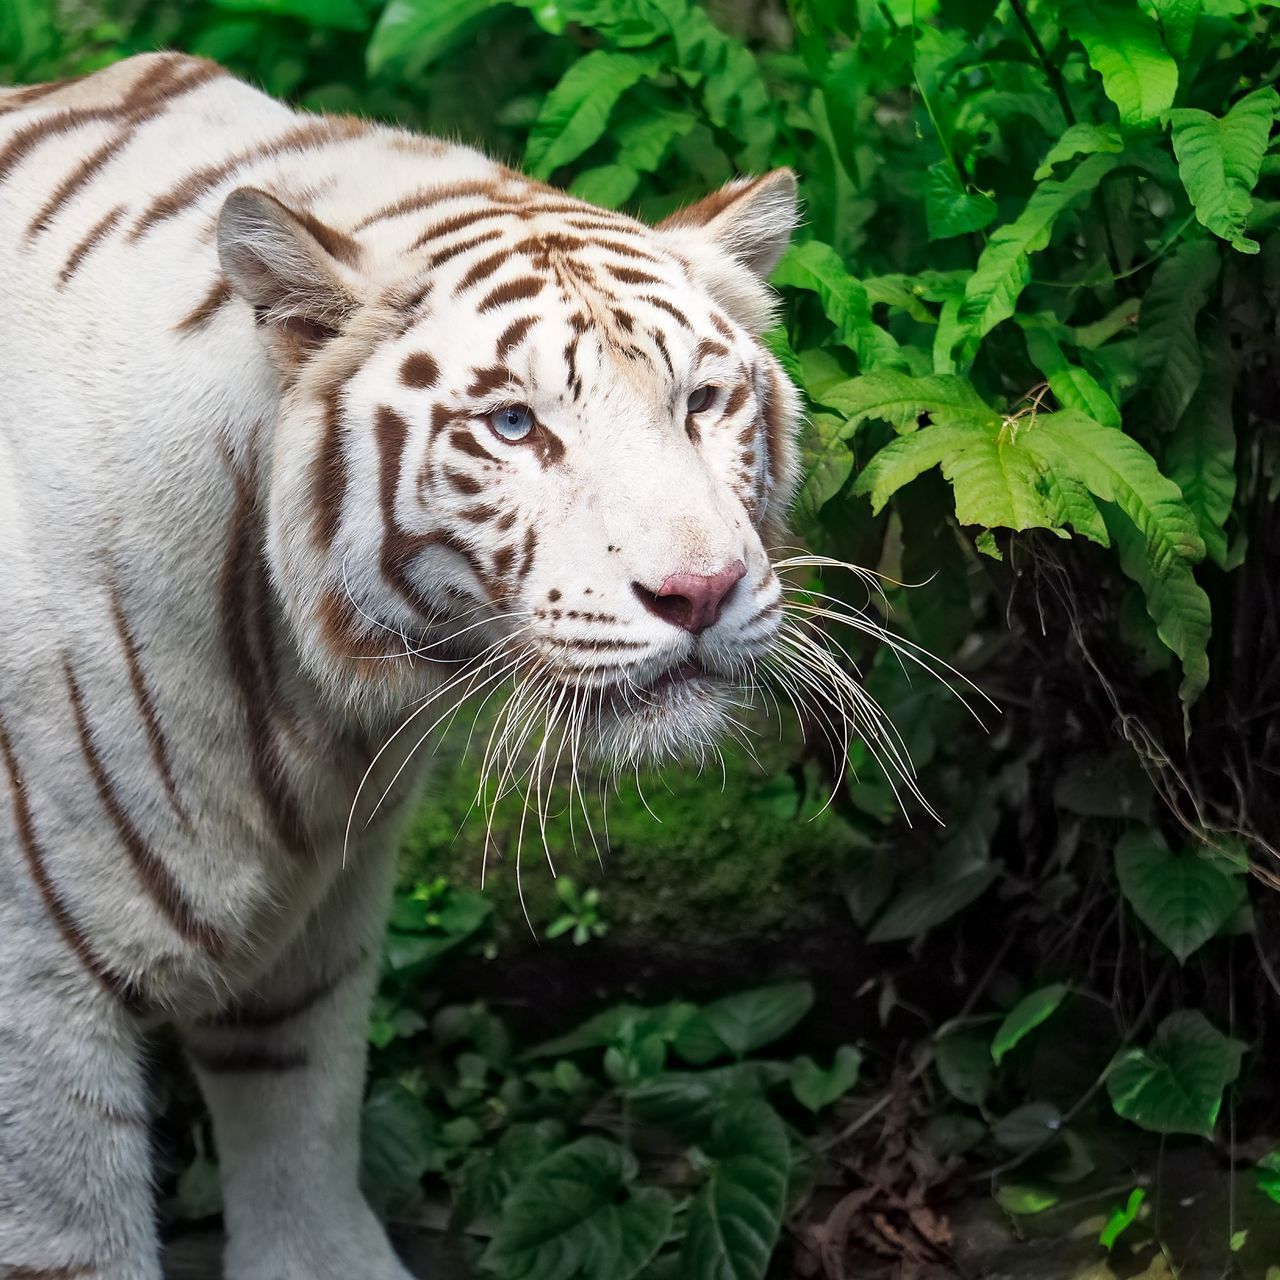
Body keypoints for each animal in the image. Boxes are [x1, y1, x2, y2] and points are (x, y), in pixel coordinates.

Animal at [0, 52, 798, 1280]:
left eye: (701, 401)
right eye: (514, 426)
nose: (700, 591)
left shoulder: (320, 921)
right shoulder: (34, 1003)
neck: (290, 687)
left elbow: (306, 1124)